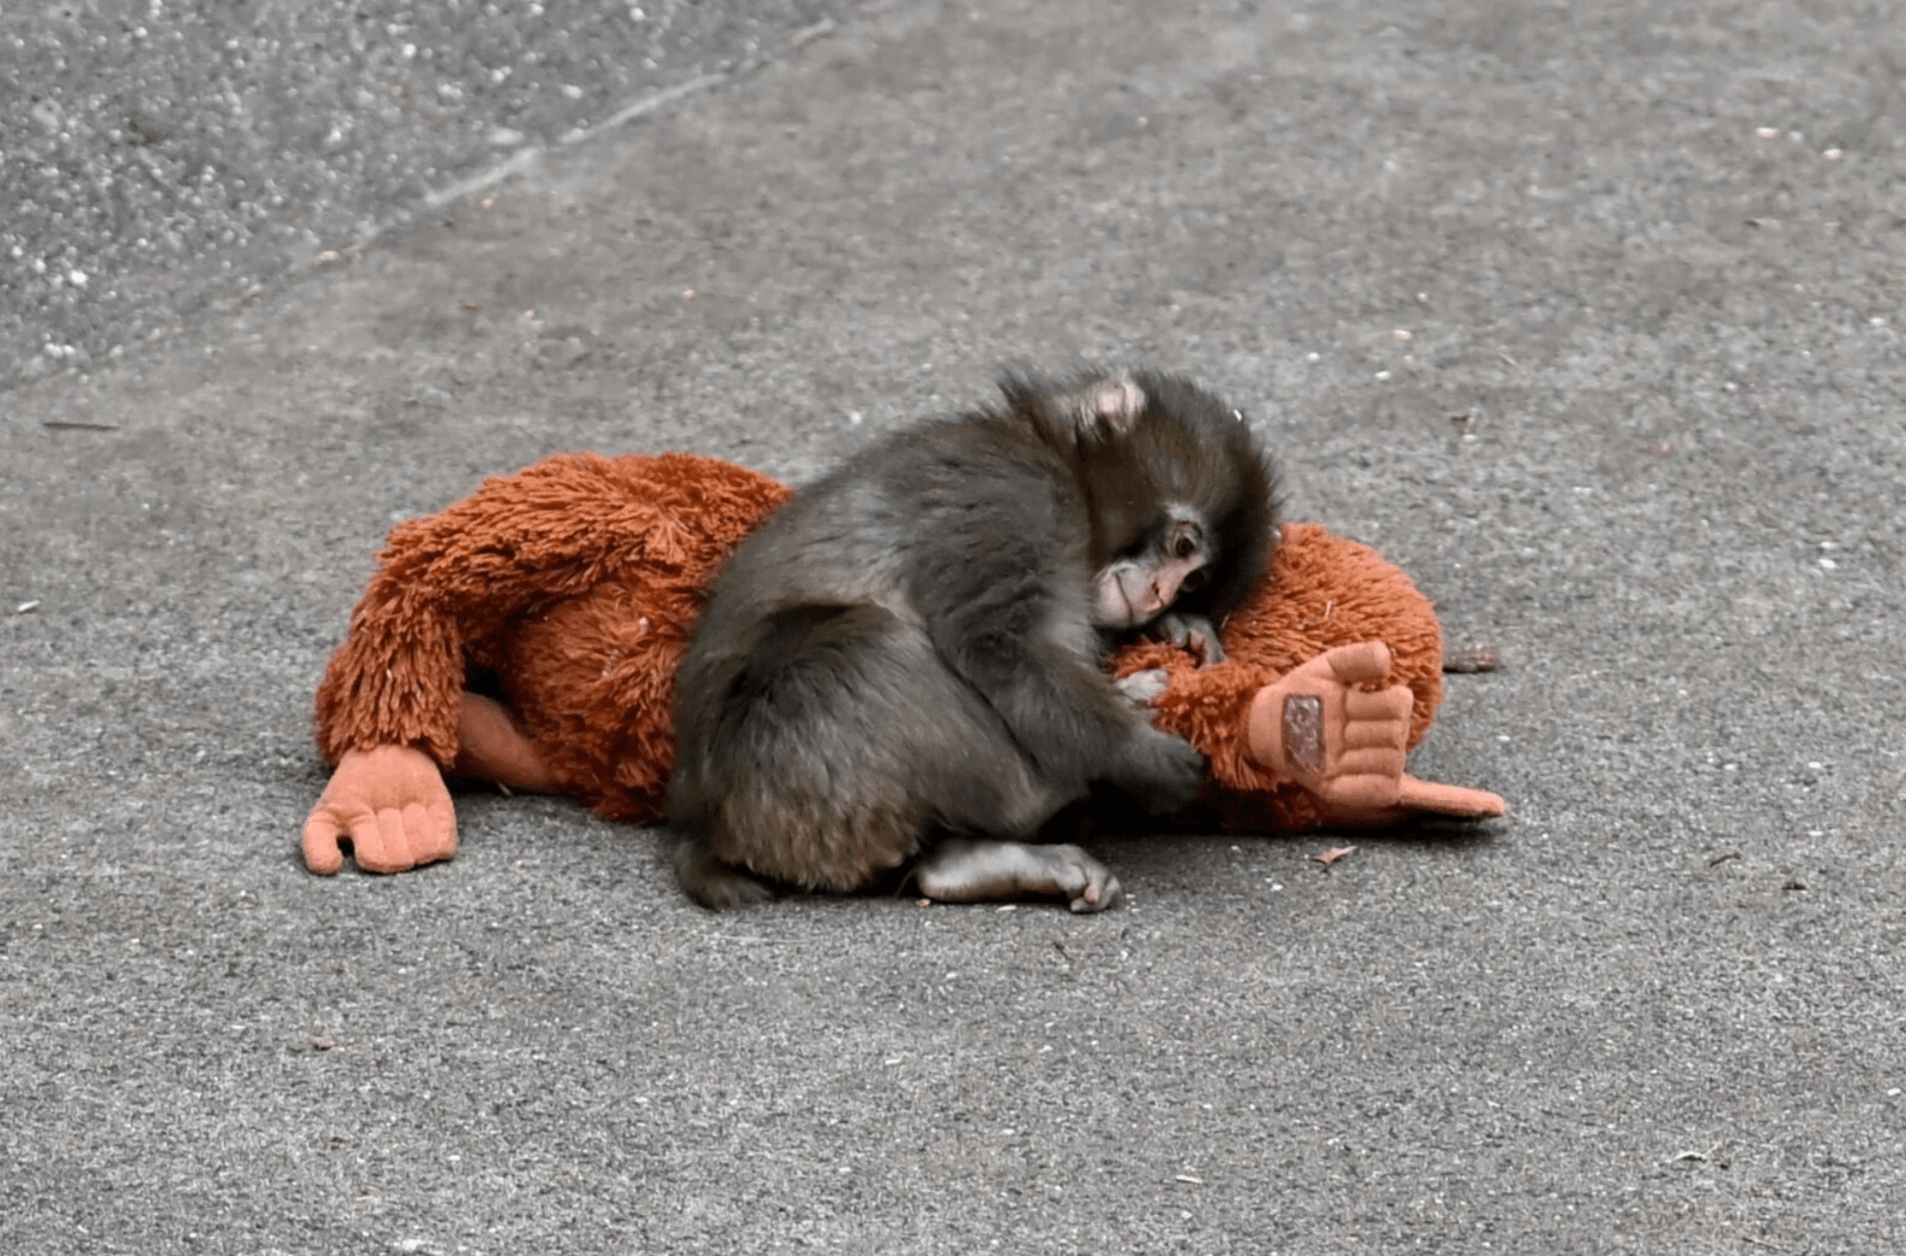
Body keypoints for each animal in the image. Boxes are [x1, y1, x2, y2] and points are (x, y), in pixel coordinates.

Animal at [664, 368, 1279, 912]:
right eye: (1182, 547)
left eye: (1193, 581)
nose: (1158, 595)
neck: (1056, 461)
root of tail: (703, 826)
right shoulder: (1016, 497)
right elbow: (999, 643)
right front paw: (1140, 755)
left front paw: (1179, 629)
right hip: (781, 771)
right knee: (869, 645)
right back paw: (1056, 788)